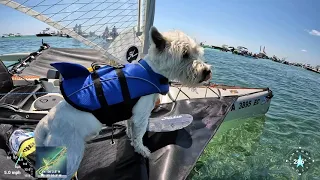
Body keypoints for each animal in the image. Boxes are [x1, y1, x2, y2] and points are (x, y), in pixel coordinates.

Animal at [33, 26, 211, 179]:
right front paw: (142, 150)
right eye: (185, 54)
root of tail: (45, 125)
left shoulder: (132, 115)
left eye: (198, 52)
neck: (152, 71)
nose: (207, 71)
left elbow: (131, 129)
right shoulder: (141, 116)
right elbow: (139, 136)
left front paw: (131, 139)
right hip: (71, 154)